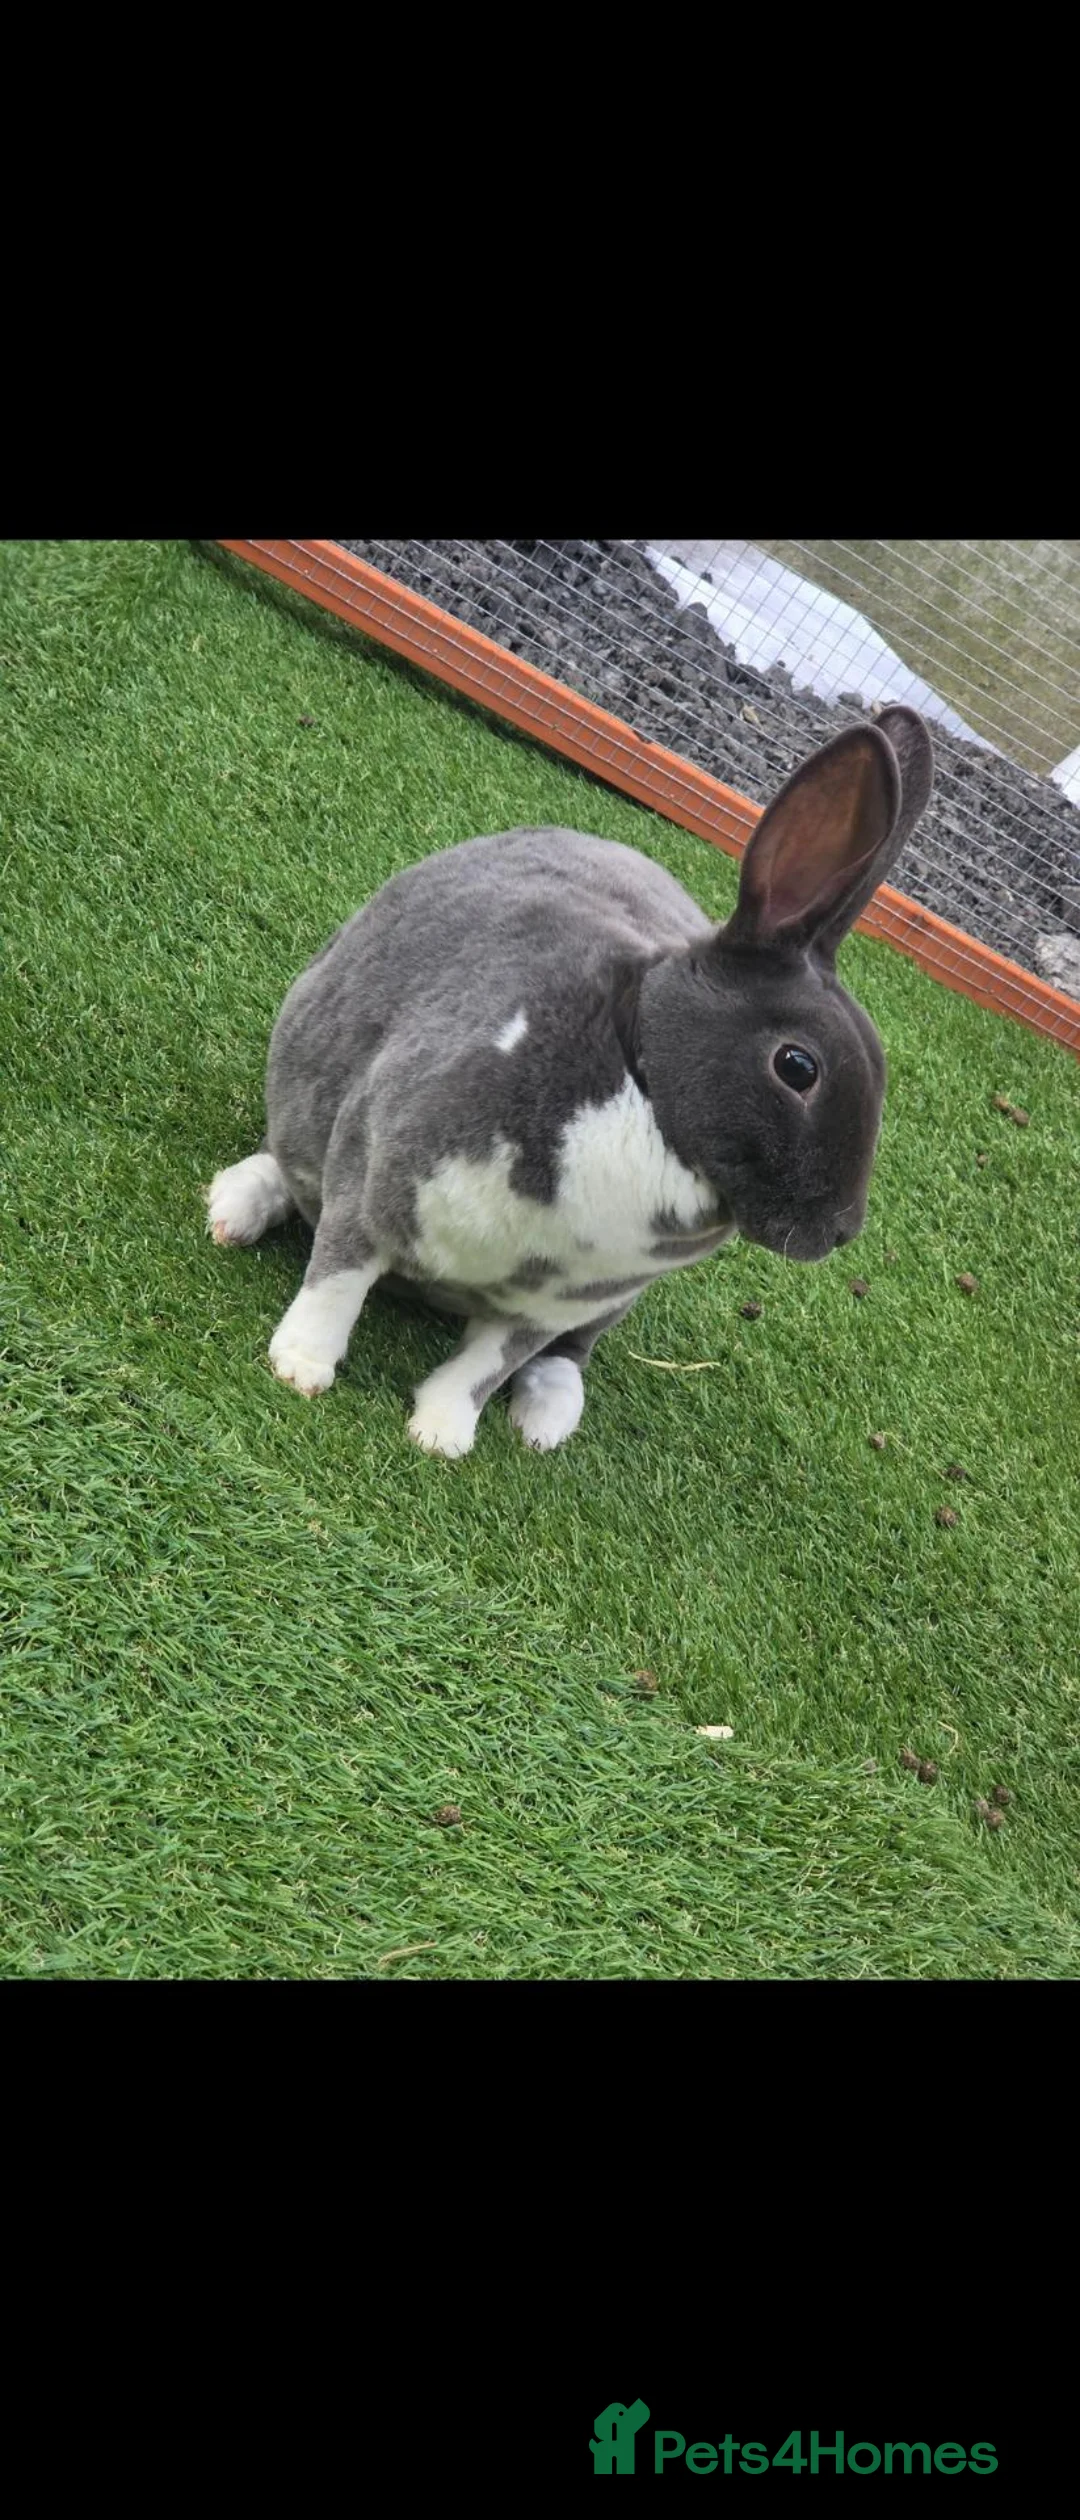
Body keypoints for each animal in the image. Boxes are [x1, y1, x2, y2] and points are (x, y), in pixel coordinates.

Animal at [206, 705, 933, 1458]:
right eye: (797, 1066)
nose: (841, 1231)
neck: (643, 1092)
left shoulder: (552, 1305)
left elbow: (485, 1366)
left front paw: (441, 1435)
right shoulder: (375, 1168)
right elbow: (338, 1280)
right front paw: (299, 1368)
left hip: (609, 1311)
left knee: (566, 1357)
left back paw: (547, 1420)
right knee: (290, 1165)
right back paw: (236, 1208)